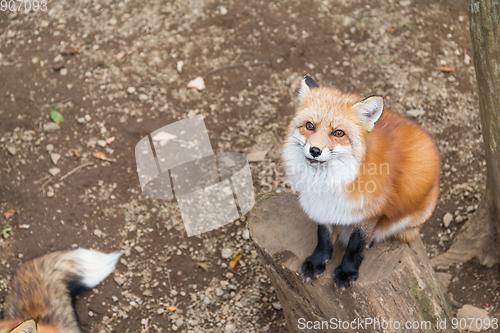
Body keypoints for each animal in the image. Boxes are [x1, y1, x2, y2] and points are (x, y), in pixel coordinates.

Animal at [284, 75, 440, 288]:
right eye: (310, 126)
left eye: (338, 133)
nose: (314, 150)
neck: (330, 181)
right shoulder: (322, 205)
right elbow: (323, 237)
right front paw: (317, 262)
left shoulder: (369, 211)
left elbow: (355, 244)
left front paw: (347, 271)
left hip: (413, 220)